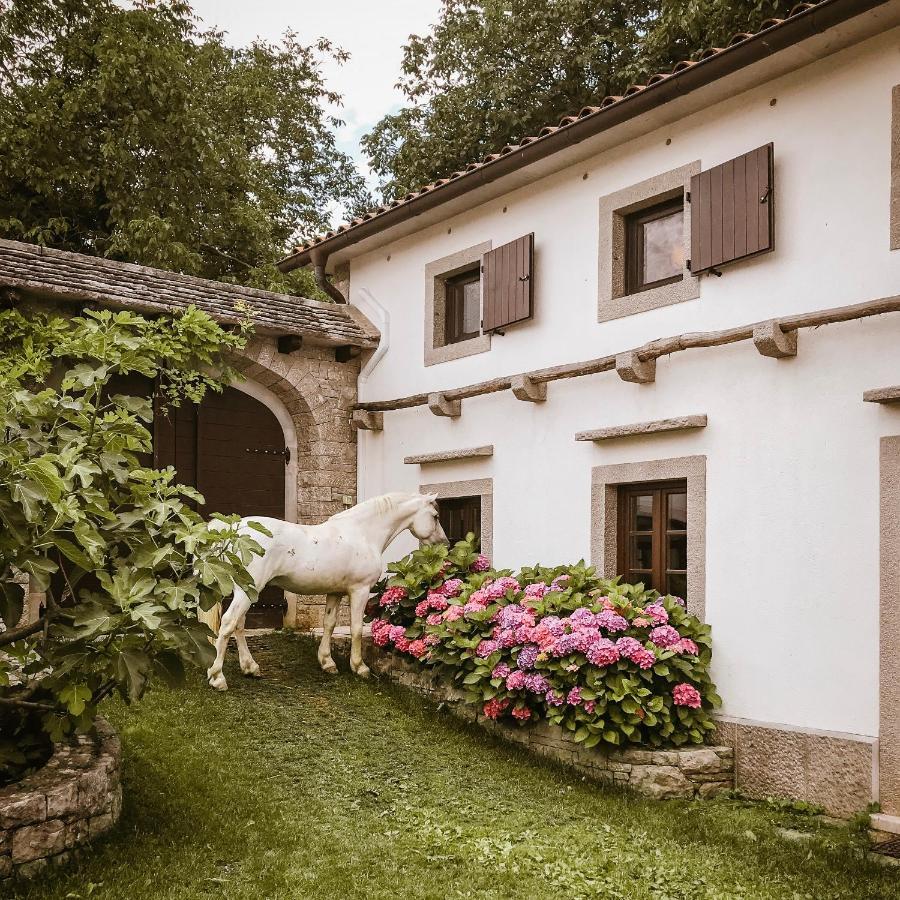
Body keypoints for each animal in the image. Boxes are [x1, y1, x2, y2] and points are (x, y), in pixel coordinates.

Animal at [207, 492, 446, 688]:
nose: (443, 543)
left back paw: (250, 667)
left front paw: (327, 662)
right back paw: (217, 677)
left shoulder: (335, 592)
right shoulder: (359, 591)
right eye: (435, 516)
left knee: (239, 625)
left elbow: (329, 624)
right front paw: (359, 667)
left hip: (248, 591)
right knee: (229, 623)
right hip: (248, 590)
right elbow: (356, 628)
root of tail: (232, 531)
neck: (363, 534)